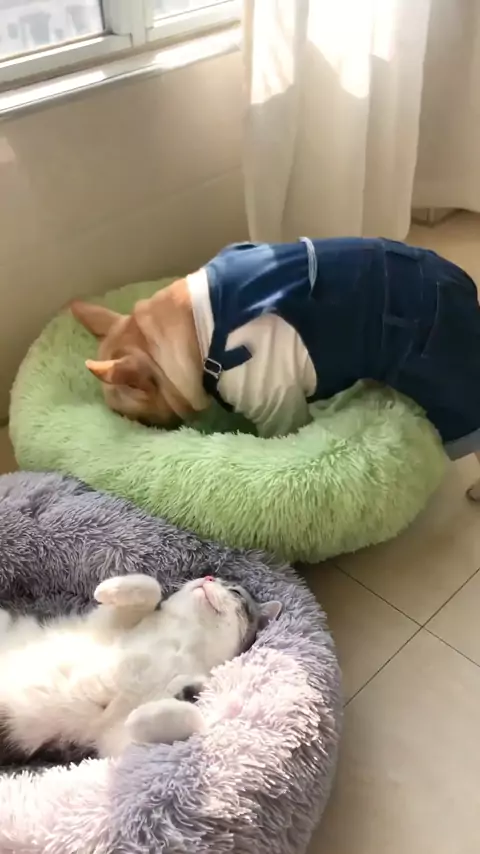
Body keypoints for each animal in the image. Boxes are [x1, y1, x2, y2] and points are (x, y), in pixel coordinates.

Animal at [0, 573, 281, 761]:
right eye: (208, 574)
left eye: (236, 592)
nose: (208, 577)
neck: (183, 641)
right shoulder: (102, 627)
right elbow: (152, 588)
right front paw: (107, 588)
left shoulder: (106, 742)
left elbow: (183, 720)